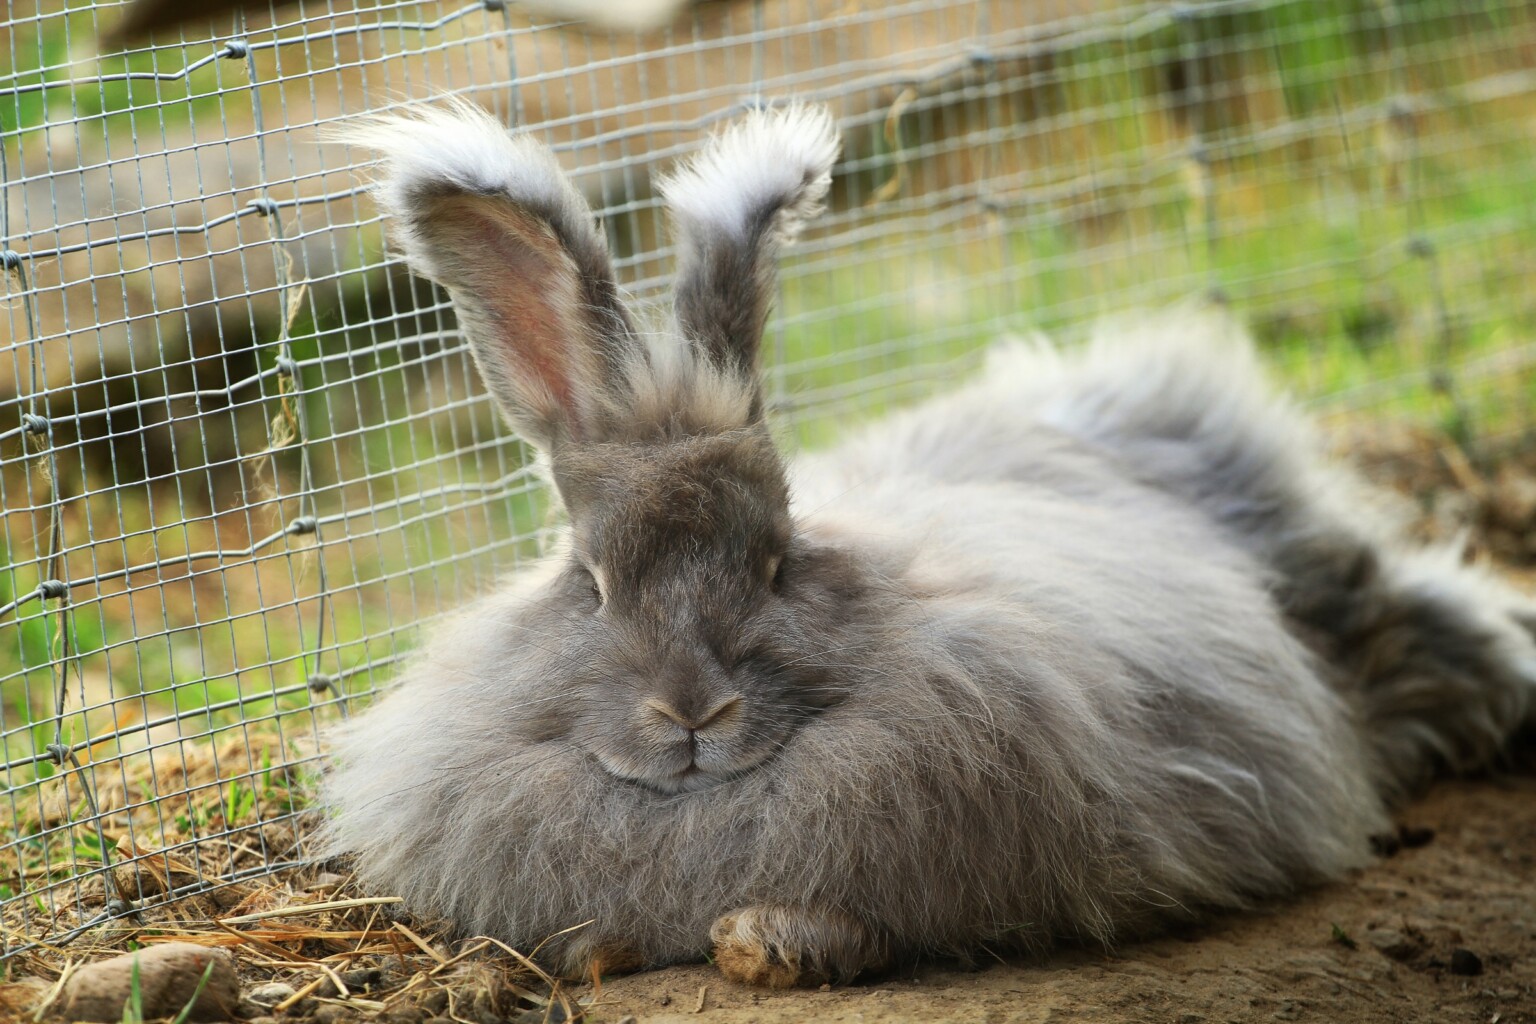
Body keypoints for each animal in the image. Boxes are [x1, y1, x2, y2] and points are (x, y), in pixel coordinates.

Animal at [318, 99, 1536, 988]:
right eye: (593, 581)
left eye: (778, 562)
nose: (693, 715)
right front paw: (605, 948)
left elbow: (869, 923)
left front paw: (764, 943)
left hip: (1344, 590)